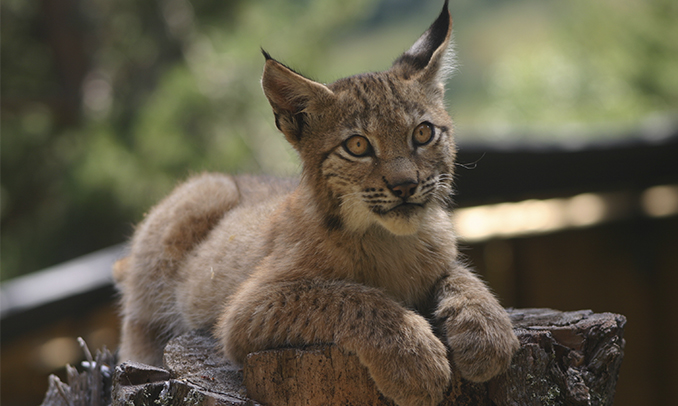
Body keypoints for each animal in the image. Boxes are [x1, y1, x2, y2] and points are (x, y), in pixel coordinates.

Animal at [117, 1, 520, 404]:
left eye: (423, 133)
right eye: (357, 145)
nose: (405, 186)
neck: (390, 237)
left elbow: (461, 275)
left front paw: (487, 331)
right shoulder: (245, 311)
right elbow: (346, 295)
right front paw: (414, 359)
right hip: (195, 213)